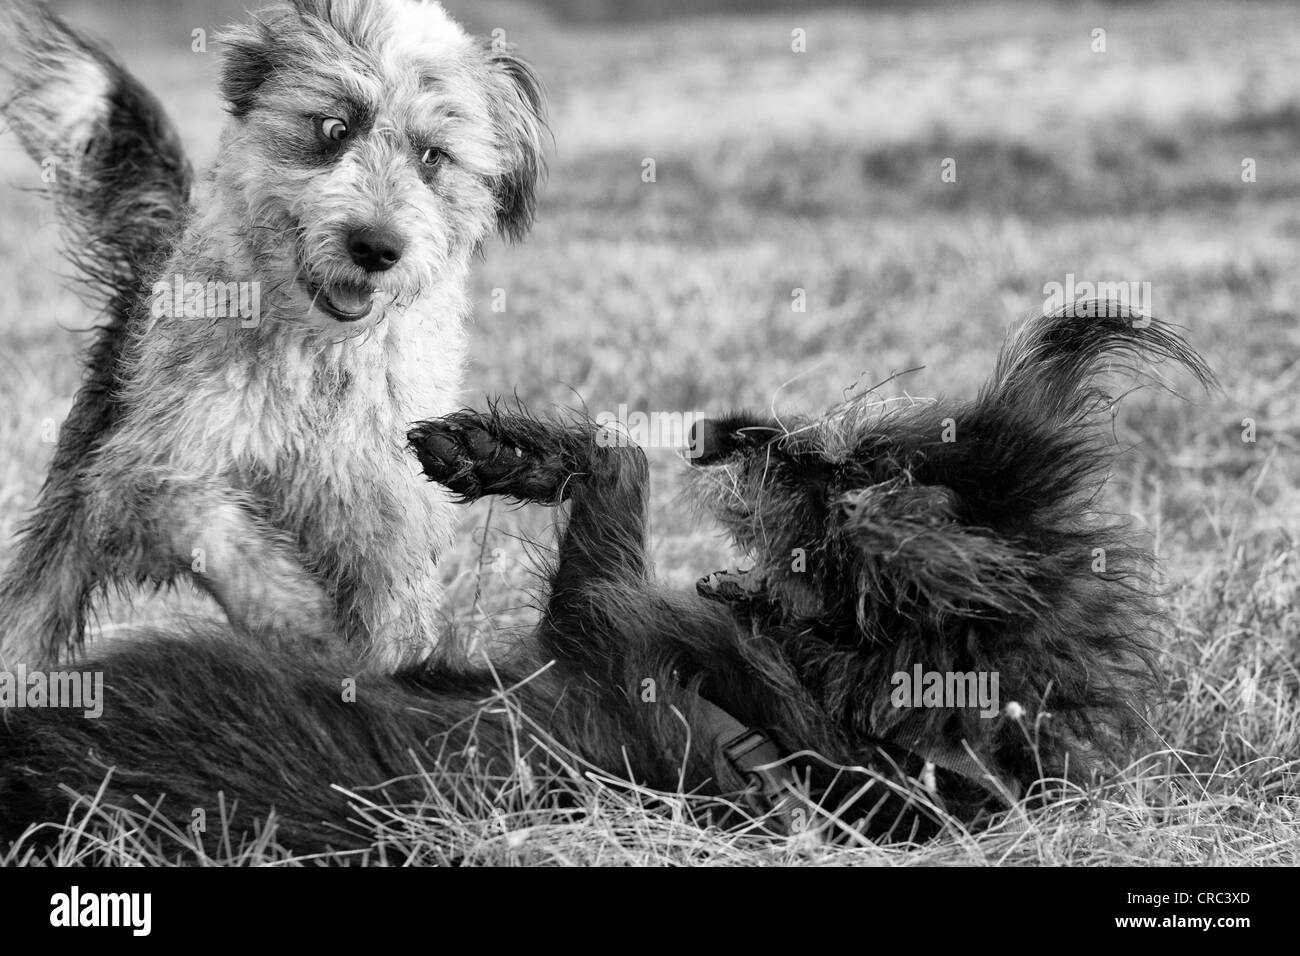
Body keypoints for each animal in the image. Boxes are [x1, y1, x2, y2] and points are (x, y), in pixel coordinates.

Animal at [0, 0, 546, 665]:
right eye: (335, 127)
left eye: (433, 156)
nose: (376, 246)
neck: (319, 361)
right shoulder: (143, 467)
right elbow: (213, 525)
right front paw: (306, 623)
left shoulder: (389, 518)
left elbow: (393, 623)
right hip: (72, 509)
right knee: (29, 612)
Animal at [0, 310, 1206, 858]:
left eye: (869, 480)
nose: (745, 435)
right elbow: (609, 461)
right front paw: (490, 448)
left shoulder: (594, 618)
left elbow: (612, 465)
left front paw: (506, 450)